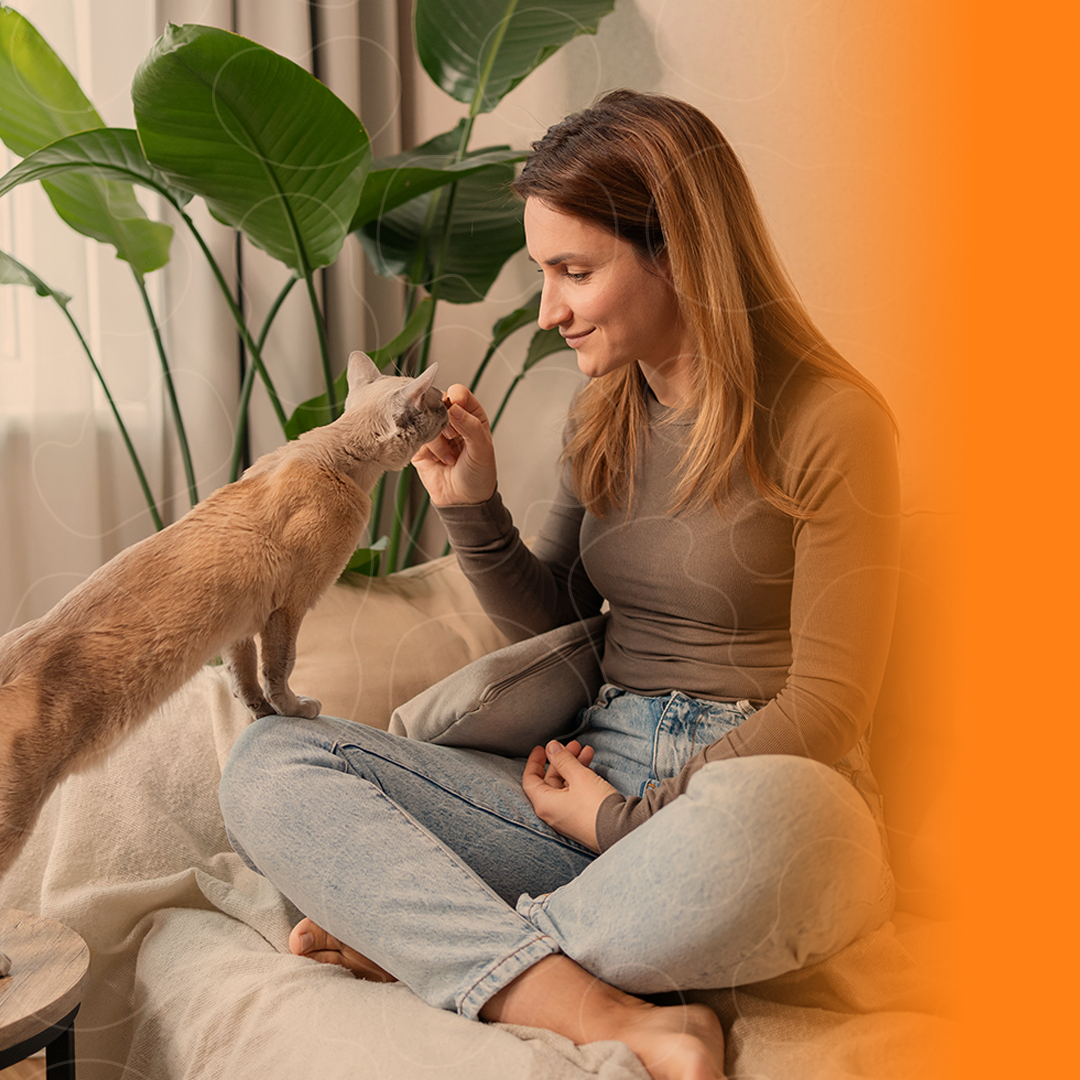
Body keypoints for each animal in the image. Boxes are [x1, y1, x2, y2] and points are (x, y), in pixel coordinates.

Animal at [0, 349, 447, 872]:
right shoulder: (288, 609)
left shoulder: (238, 625)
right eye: (436, 401)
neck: (330, 457)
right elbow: (279, 671)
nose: (451, 405)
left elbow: (245, 679)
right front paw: (294, 711)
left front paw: (259, 716)